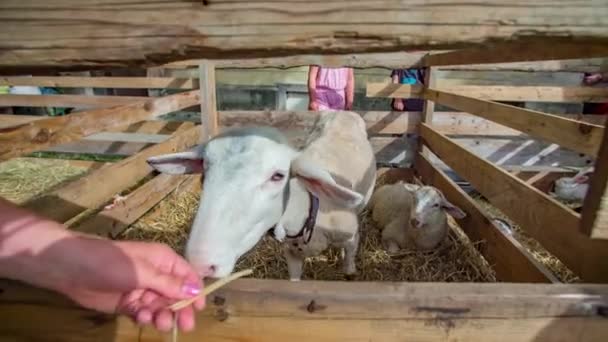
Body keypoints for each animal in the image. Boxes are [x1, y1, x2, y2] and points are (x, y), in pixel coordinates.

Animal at [146, 111, 376, 280]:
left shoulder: (351, 237)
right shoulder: (291, 256)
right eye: (204, 170)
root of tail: (343, 112)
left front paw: (349, 271)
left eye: (278, 176)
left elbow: (350, 260)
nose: (200, 264)